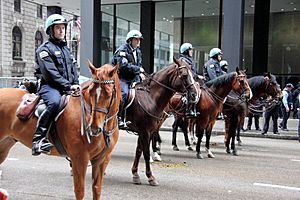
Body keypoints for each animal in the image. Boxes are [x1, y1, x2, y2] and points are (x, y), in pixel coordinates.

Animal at [0, 61, 122, 199]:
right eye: (91, 91)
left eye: (108, 93)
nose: (94, 128)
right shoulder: (79, 158)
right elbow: (79, 191)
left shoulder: (101, 160)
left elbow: (97, 189)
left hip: (5, 144)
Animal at [122, 57, 199, 185]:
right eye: (184, 75)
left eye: (193, 75)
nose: (194, 95)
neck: (150, 97)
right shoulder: (145, 131)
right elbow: (146, 153)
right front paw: (150, 177)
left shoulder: (145, 131)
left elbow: (139, 151)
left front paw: (135, 174)